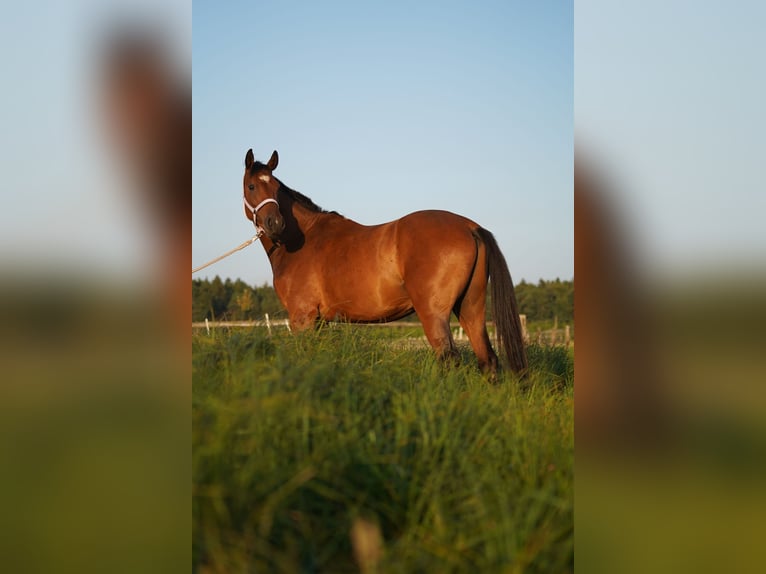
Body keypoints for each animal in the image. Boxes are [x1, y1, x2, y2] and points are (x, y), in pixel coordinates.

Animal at [242, 148, 527, 376]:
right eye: (252, 186)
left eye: (276, 188)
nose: (275, 224)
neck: (304, 239)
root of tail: (469, 226)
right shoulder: (319, 321)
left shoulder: (302, 319)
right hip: (470, 308)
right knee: (488, 360)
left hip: (434, 315)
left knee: (450, 359)